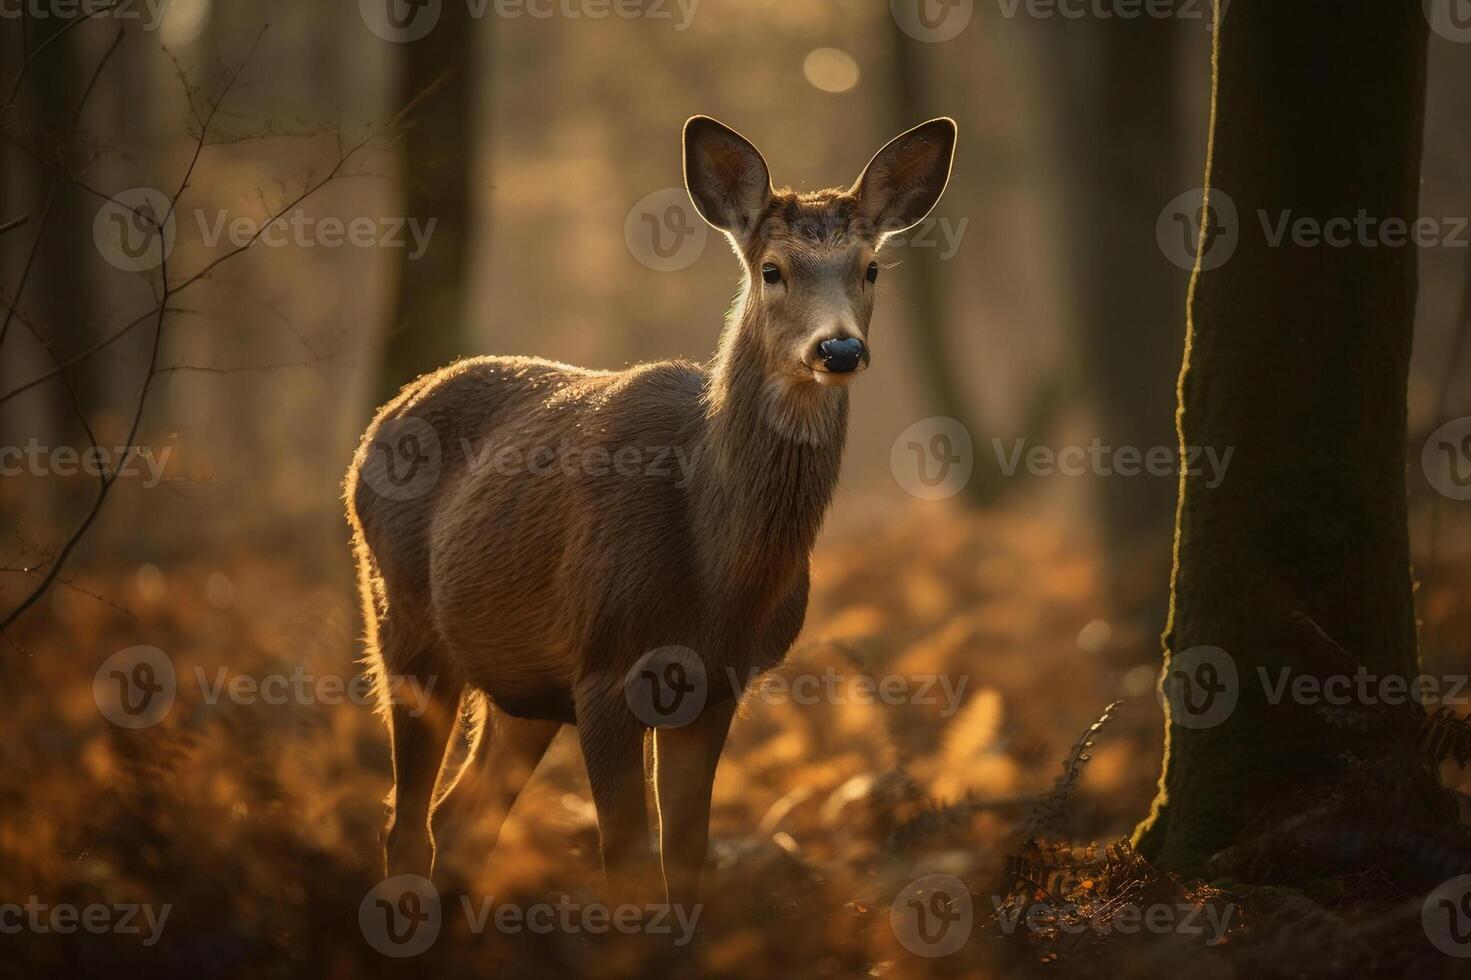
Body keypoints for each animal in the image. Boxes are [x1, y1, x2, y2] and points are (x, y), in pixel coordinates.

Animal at [348, 112, 959, 900]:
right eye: (772, 270)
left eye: (870, 268)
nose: (840, 350)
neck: (716, 576)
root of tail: (381, 421)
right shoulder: (606, 669)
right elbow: (630, 867)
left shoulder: (717, 686)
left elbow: (687, 858)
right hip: (400, 617)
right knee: (407, 823)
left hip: (523, 682)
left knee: (460, 819)